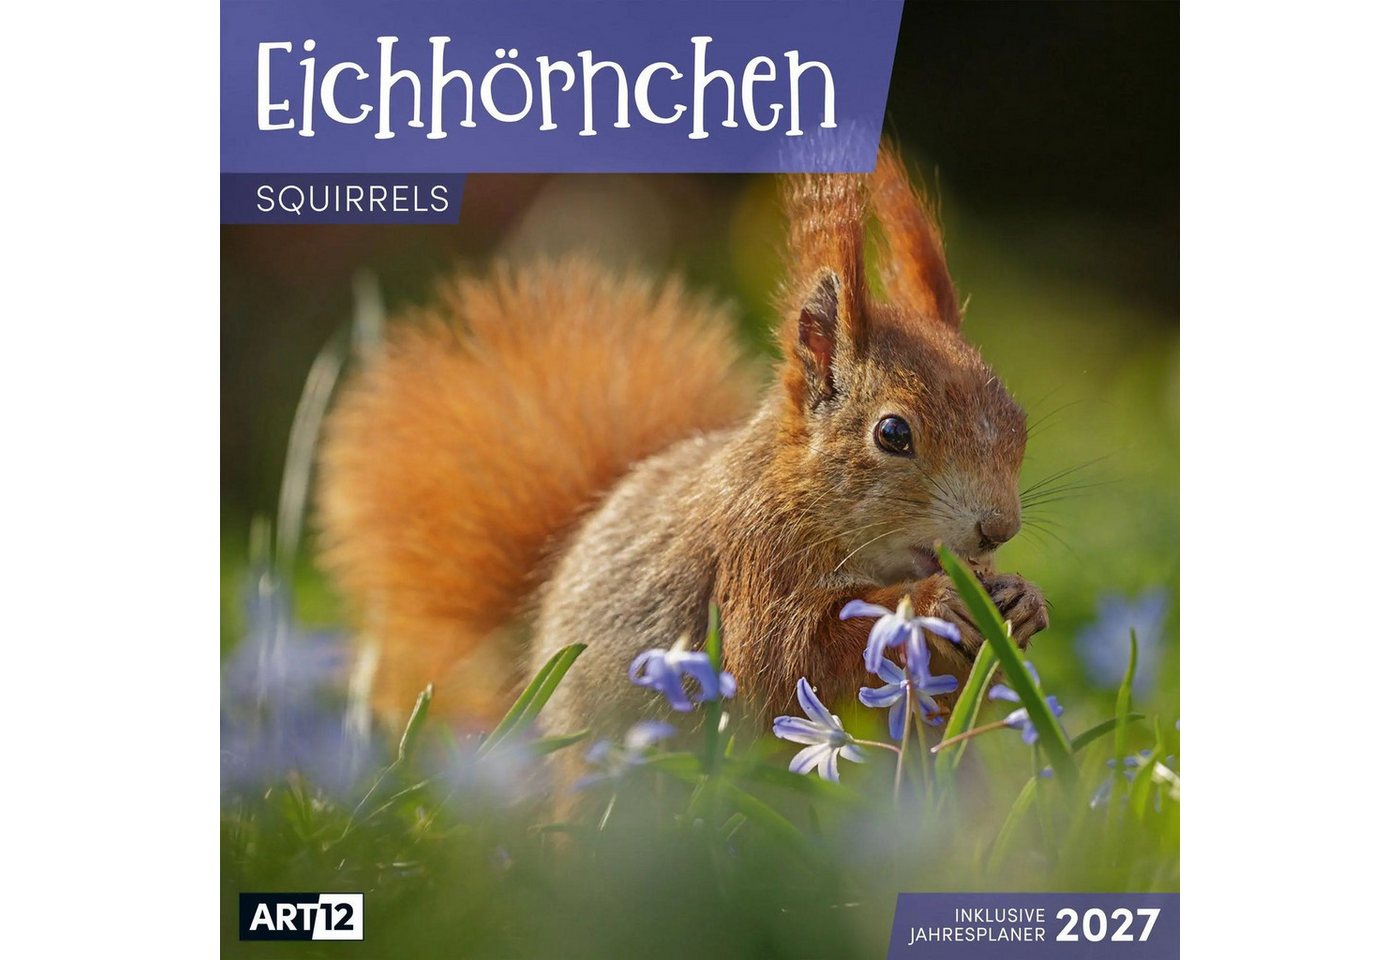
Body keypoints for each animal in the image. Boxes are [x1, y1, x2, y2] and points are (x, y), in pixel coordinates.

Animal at [317, 144, 1049, 741]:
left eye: (1018, 420)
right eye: (893, 433)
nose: (998, 529)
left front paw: (1021, 605)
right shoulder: (753, 558)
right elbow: (781, 659)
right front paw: (934, 604)